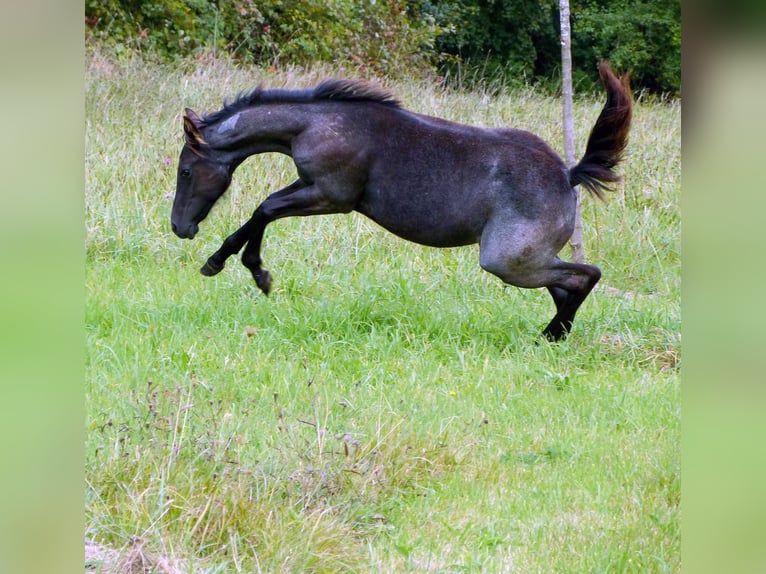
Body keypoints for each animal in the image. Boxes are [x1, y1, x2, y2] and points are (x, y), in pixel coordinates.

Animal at [174, 63, 636, 342]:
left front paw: (247, 270)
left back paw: (549, 336)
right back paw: (553, 337)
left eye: (185, 171)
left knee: (585, 275)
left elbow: (265, 209)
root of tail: (568, 173)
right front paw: (227, 263)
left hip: (507, 259)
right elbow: (262, 210)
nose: (181, 227)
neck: (319, 124)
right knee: (566, 287)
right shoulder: (310, 186)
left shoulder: (331, 195)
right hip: (527, 258)